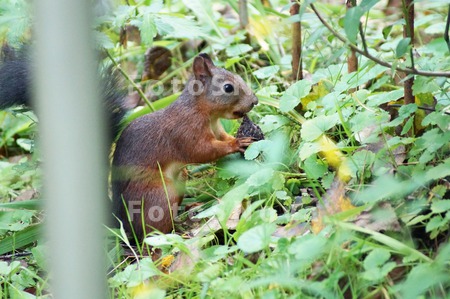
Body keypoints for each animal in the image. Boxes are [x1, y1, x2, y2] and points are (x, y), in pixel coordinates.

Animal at [0, 48, 256, 241]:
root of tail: (121, 220)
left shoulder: (216, 128)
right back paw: (176, 229)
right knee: (150, 232)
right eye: (228, 87)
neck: (203, 112)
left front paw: (238, 139)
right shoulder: (184, 132)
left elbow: (222, 138)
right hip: (159, 195)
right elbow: (201, 151)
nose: (254, 101)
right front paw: (236, 144)